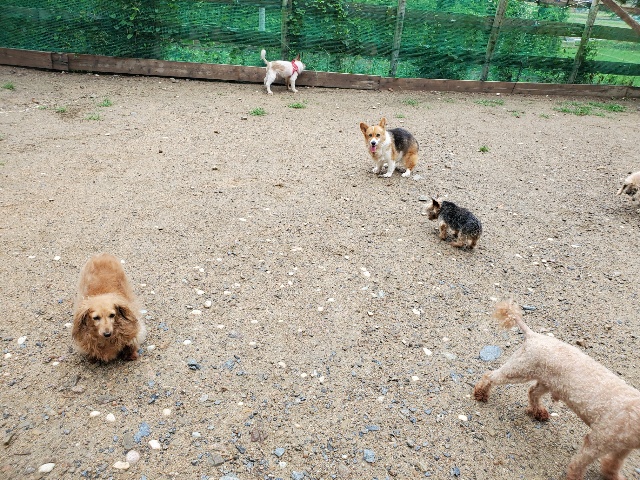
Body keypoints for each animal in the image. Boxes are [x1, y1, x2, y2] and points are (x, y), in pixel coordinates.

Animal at [474, 300, 640, 480]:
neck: (635, 417)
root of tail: (533, 335)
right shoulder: (597, 440)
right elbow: (579, 463)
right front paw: (575, 476)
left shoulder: (623, 447)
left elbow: (614, 463)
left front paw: (613, 475)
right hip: (519, 370)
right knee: (491, 375)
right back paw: (480, 393)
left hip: (547, 382)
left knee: (532, 392)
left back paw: (539, 412)